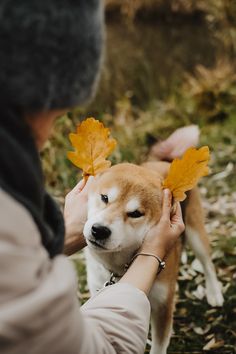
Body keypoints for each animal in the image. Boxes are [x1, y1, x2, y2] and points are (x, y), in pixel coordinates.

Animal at [83, 161, 223, 354]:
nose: (99, 230)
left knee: (207, 263)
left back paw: (214, 292)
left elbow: (158, 346)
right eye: (104, 197)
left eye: (135, 213)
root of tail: (163, 162)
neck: (122, 269)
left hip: (195, 233)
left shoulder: (163, 306)